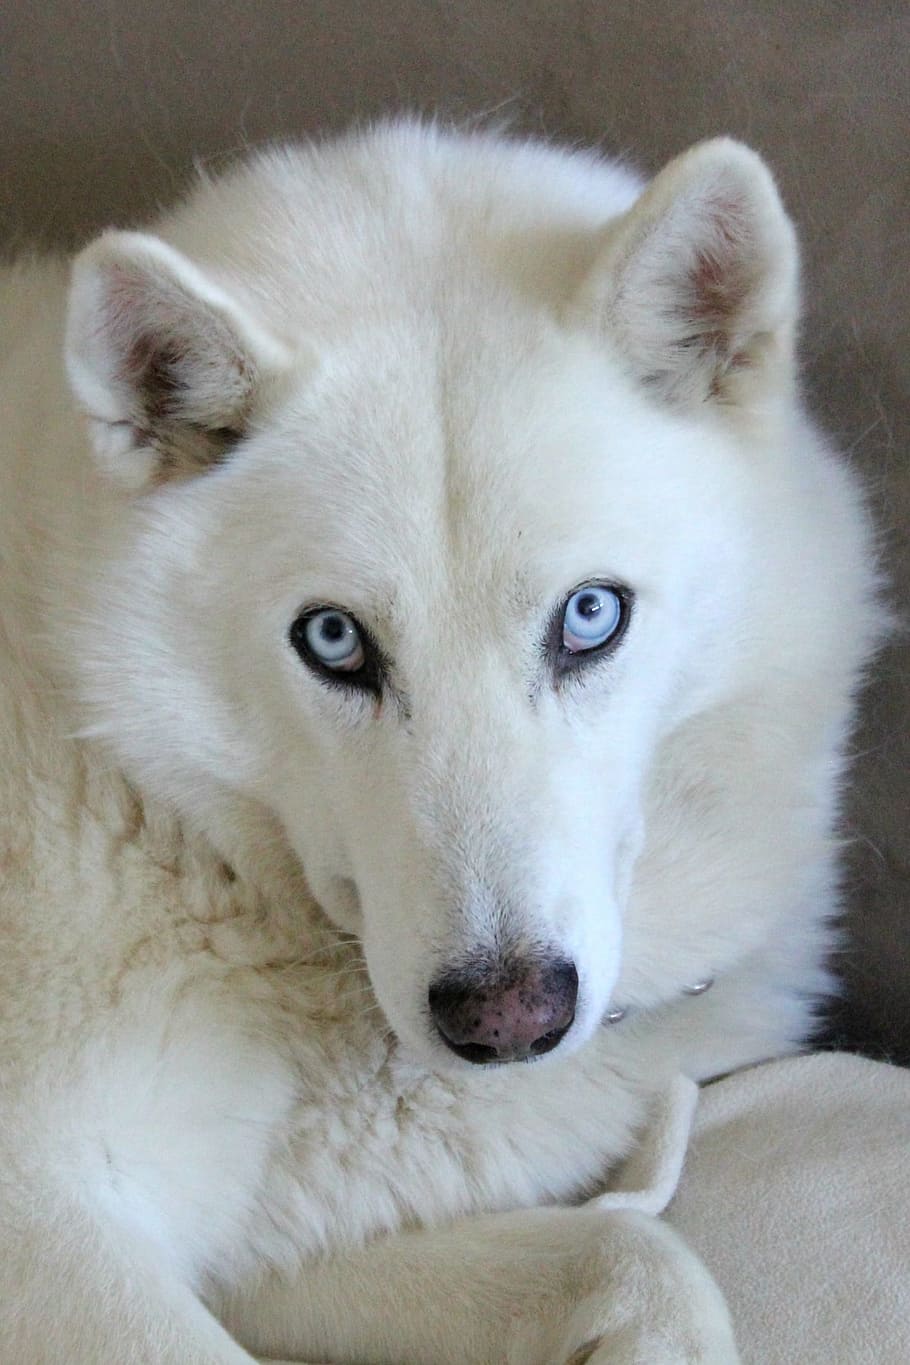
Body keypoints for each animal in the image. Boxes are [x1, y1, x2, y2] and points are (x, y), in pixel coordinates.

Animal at [0, 122, 884, 1359]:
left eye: (589, 614)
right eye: (332, 640)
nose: (505, 1020)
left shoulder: (286, 1254)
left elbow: (640, 1256)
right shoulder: (49, 1235)